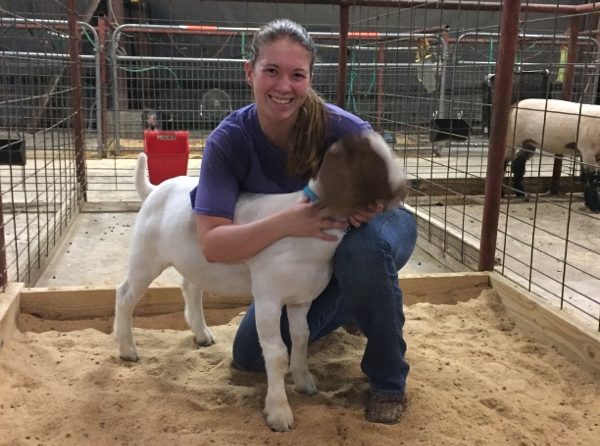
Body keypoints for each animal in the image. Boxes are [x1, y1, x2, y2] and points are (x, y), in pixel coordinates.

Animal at [112, 132, 408, 432]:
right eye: (371, 160)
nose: (404, 189)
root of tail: (152, 190)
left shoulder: (301, 298)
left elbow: (302, 337)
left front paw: (305, 383)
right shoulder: (268, 298)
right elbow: (276, 353)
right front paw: (279, 413)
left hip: (195, 261)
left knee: (190, 286)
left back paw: (202, 334)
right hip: (145, 256)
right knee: (125, 295)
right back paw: (128, 350)